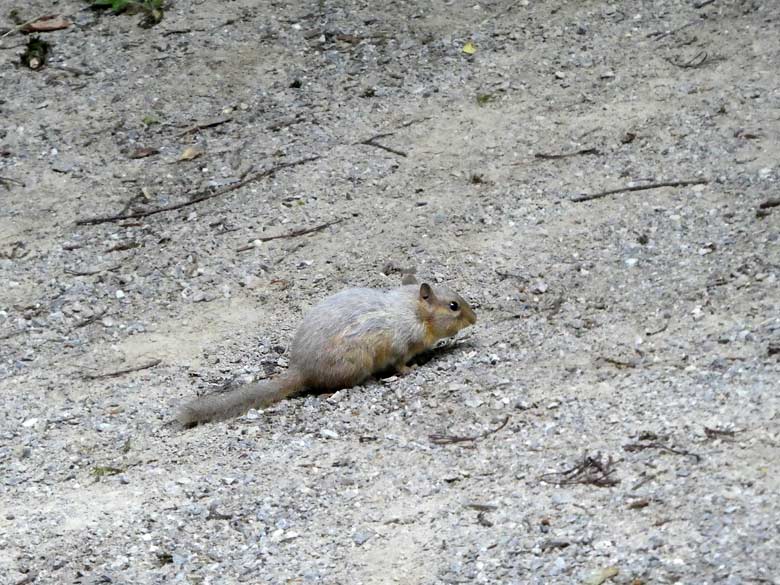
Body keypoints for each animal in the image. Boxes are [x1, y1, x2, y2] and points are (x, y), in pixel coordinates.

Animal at [178, 280, 476, 424]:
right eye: (453, 306)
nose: (475, 318)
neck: (413, 311)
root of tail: (301, 371)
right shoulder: (401, 347)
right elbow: (401, 364)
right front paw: (412, 368)